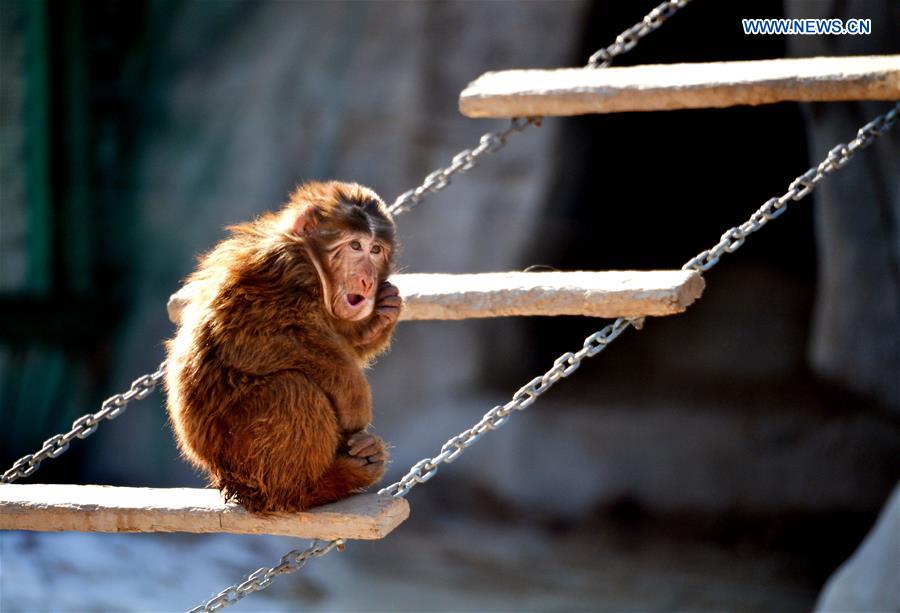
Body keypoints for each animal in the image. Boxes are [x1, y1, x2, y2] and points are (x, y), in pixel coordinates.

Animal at [163, 180, 400, 512]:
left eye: (376, 250)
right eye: (355, 246)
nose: (367, 280)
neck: (313, 263)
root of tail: (225, 478)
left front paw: (378, 319)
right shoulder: (285, 266)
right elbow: (249, 340)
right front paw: (355, 397)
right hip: (241, 451)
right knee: (291, 388)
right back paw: (315, 486)